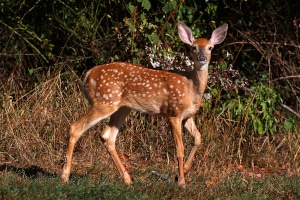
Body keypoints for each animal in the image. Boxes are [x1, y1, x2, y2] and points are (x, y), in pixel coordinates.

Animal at [60, 21, 227, 188]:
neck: (191, 88)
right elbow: (180, 148)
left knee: (107, 136)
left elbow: (198, 138)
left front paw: (183, 171)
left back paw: (127, 179)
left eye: (210, 47)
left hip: (121, 108)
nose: (202, 57)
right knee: (75, 127)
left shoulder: (187, 116)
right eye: (193, 47)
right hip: (105, 101)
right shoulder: (173, 112)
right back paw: (65, 176)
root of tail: (87, 75)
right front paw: (181, 182)